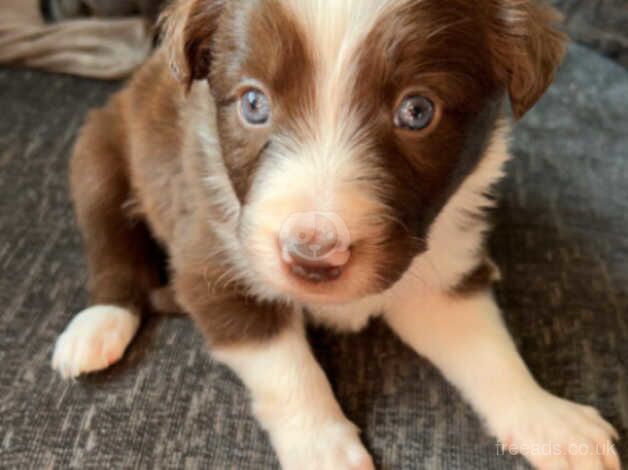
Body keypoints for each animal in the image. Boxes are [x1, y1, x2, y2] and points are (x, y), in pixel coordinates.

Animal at [51, 0, 620, 470]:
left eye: (417, 111)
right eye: (253, 104)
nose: (311, 258)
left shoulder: (437, 274)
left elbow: (488, 349)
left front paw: (547, 417)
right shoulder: (212, 263)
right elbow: (286, 369)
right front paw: (322, 446)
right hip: (98, 152)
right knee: (110, 245)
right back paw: (98, 326)